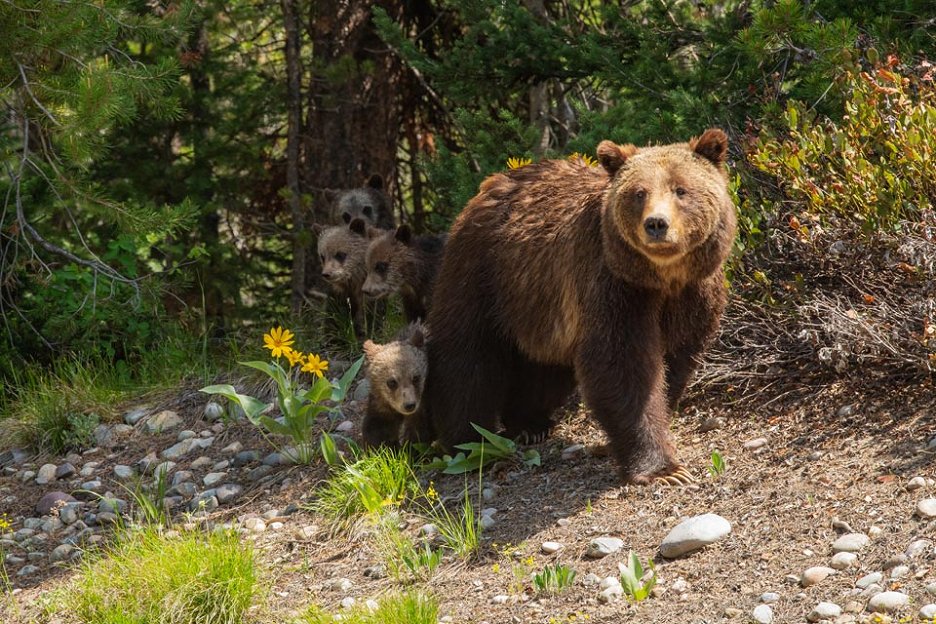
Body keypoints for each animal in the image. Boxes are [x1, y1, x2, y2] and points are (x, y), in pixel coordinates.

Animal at [426, 129, 740, 486]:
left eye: (681, 189)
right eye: (639, 193)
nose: (656, 224)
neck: (663, 278)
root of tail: (491, 183)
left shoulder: (694, 295)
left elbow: (676, 359)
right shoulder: (613, 287)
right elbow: (623, 366)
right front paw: (663, 469)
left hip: (540, 304)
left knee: (544, 368)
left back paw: (530, 423)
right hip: (484, 273)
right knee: (467, 355)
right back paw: (468, 441)